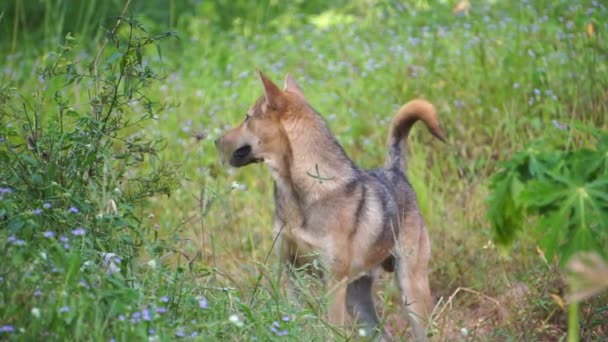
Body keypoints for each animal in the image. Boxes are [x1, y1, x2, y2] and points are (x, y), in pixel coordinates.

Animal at [216, 71, 444, 340]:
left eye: (247, 118)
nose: (216, 141)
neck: (299, 193)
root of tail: (395, 171)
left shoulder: (333, 283)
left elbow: (331, 330)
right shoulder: (290, 273)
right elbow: (293, 318)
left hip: (411, 291)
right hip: (358, 298)